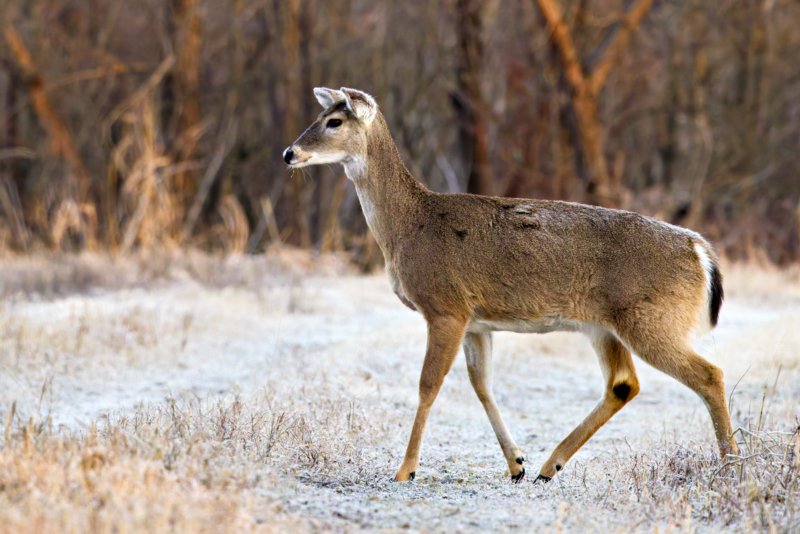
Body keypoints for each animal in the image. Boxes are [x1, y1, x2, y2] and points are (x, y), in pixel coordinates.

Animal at [284, 87, 740, 486]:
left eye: (334, 121)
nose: (289, 153)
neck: (407, 226)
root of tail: (700, 249)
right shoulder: (475, 321)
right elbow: (481, 384)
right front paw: (516, 464)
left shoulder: (445, 306)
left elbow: (428, 385)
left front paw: (405, 470)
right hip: (603, 324)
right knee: (624, 383)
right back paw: (548, 467)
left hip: (651, 317)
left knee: (709, 374)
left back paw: (732, 466)